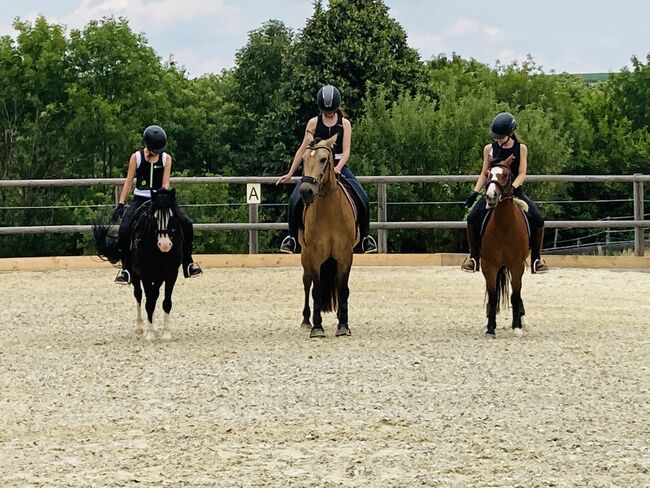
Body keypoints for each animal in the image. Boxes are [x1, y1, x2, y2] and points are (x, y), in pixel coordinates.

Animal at [91, 188, 182, 344]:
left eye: (172, 216)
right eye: (154, 217)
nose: (165, 245)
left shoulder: (170, 274)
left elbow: (165, 302)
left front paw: (166, 334)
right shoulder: (145, 275)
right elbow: (148, 303)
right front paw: (150, 334)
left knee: (153, 296)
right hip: (134, 275)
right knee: (139, 295)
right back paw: (140, 327)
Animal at [298, 133, 356, 340]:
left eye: (323, 159)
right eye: (303, 160)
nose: (306, 191)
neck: (330, 212)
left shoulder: (345, 255)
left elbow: (344, 289)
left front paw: (343, 325)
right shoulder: (315, 255)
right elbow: (316, 290)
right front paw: (317, 327)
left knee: (337, 285)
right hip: (305, 255)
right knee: (306, 282)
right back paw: (306, 320)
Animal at [478, 156, 528, 336]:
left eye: (506, 175)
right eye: (488, 174)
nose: (491, 196)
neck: (504, 226)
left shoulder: (517, 265)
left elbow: (515, 294)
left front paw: (517, 327)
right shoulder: (489, 265)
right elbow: (493, 296)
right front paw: (491, 327)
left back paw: (522, 319)